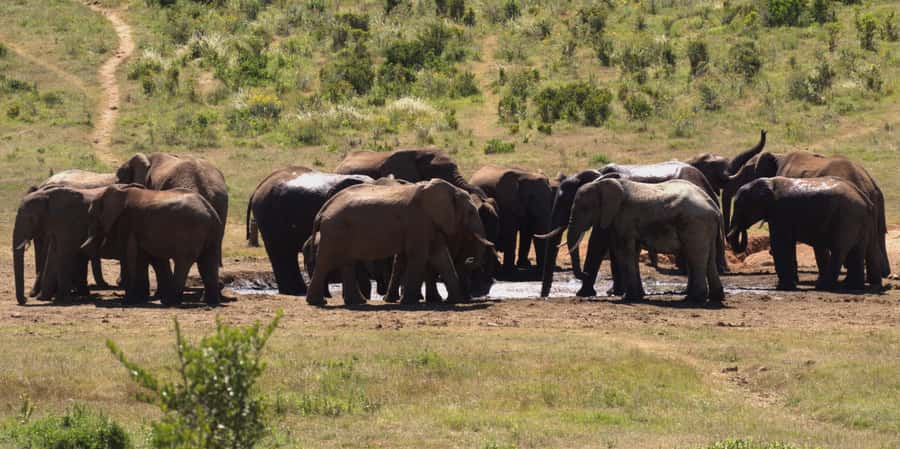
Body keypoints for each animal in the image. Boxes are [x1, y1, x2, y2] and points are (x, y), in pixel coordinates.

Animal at [81, 185, 223, 305]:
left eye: (91, 216)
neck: (120, 190)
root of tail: (210, 211)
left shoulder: (127, 222)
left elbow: (130, 255)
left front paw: (129, 301)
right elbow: (142, 257)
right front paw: (139, 298)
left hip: (191, 231)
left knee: (183, 262)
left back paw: (169, 301)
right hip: (213, 233)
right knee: (208, 260)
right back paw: (209, 301)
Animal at [303, 179, 493, 306]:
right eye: (471, 212)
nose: (469, 259)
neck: (450, 189)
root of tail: (323, 208)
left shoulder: (430, 225)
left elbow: (440, 257)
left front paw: (454, 301)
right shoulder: (418, 222)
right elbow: (419, 256)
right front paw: (408, 302)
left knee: (346, 262)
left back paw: (357, 302)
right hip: (335, 230)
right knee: (326, 262)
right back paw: (318, 302)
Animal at [538, 161, 725, 298]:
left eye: (567, 205)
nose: (544, 297)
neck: (597, 175)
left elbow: (598, 244)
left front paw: (585, 293)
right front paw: (615, 292)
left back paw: (691, 296)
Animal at [727, 177, 881, 291]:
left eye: (739, 206)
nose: (742, 229)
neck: (768, 182)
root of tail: (865, 199)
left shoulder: (780, 212)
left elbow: (780, 244)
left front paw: (782, 287)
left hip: (846, 218)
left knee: (840, 250)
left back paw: (823, 287)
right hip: (858, 220)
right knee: (858, 251)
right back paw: (852, 286)